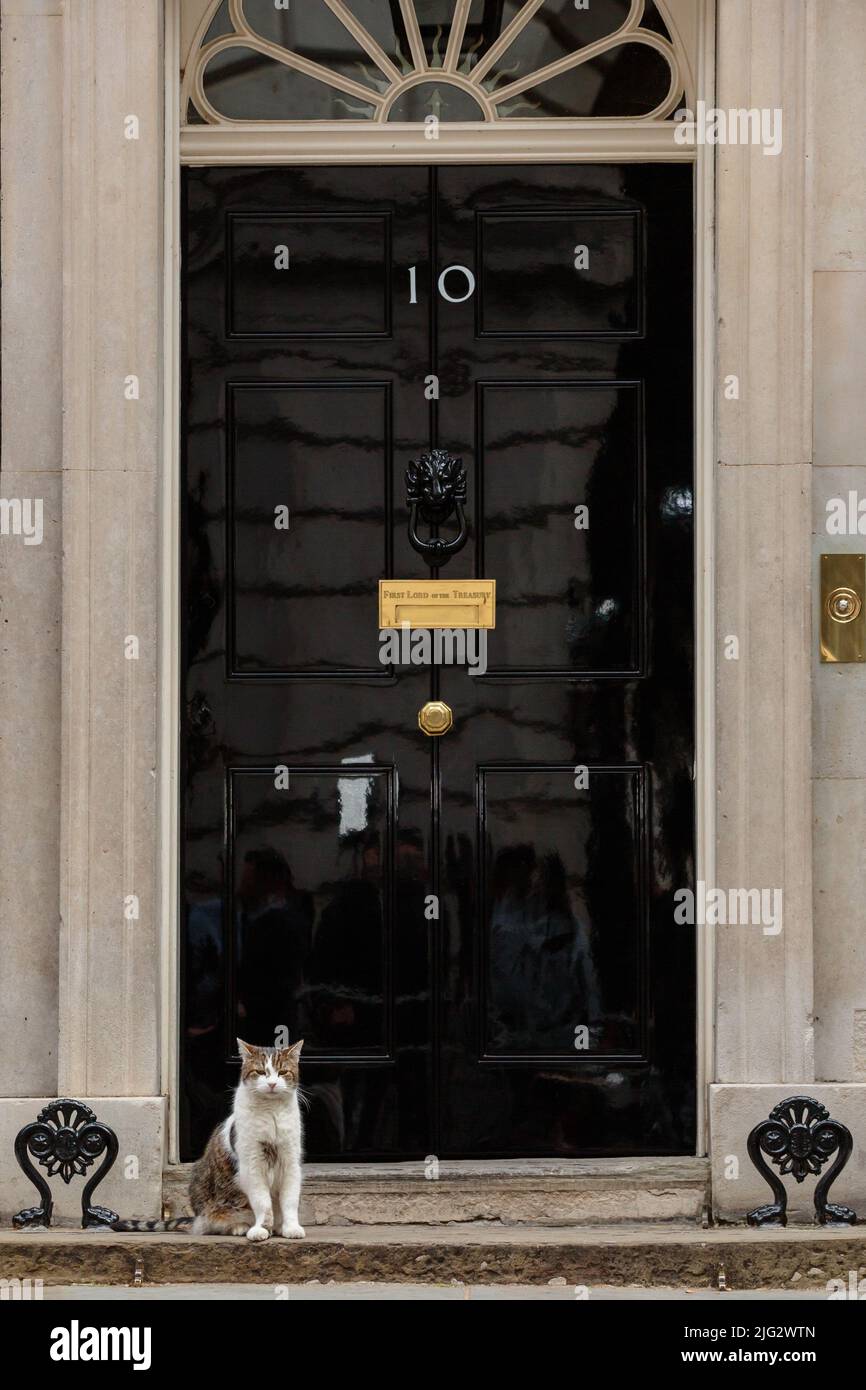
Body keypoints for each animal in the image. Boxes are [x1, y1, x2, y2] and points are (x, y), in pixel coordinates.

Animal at [115, 1045, 304, 1239]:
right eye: (260, 1072)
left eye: (283, 1072)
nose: (272, 1084)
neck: (271, 1112)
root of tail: (197, 1218)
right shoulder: (252, 1165)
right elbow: (262, 1202)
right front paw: (261, 1229)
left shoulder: (290, 1163)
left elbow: (290, 1201)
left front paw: (291, 1228)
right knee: (214, 1224)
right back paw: (241, 1227)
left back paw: (277, 1227)